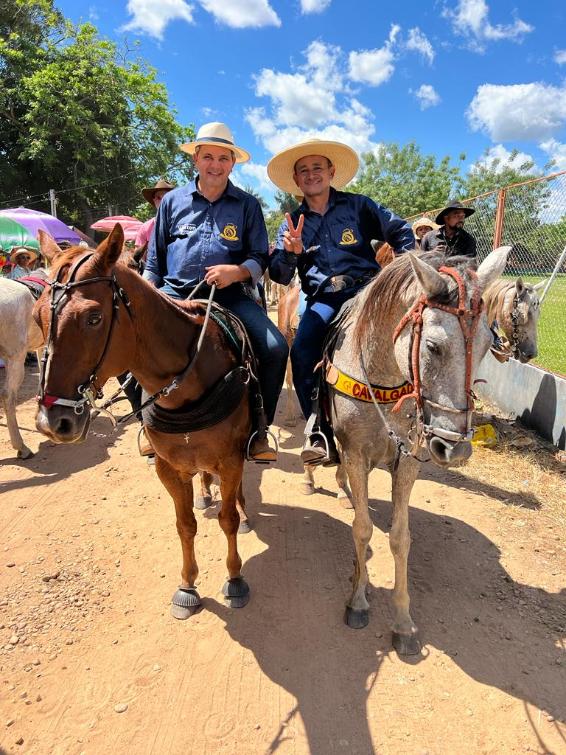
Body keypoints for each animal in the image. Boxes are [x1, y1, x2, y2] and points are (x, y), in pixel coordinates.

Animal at [36, 227, 255, 616]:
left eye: (93, 318)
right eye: (36, 317)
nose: (53, 422)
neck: (187, 384)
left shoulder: (230, 460)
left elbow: (227, 520)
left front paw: (234, 578)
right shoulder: (168, 468)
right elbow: (185, 525)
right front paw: (188, 584)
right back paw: (205, 492)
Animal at [328, 248, 510, 656]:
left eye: (486, 346)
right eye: (432, 346)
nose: (454, 448)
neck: (383, 382)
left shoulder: (407, 461)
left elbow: (400, 538)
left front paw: (403, 622)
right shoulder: (355, 453)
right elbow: (362, 529)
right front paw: (358, 600)